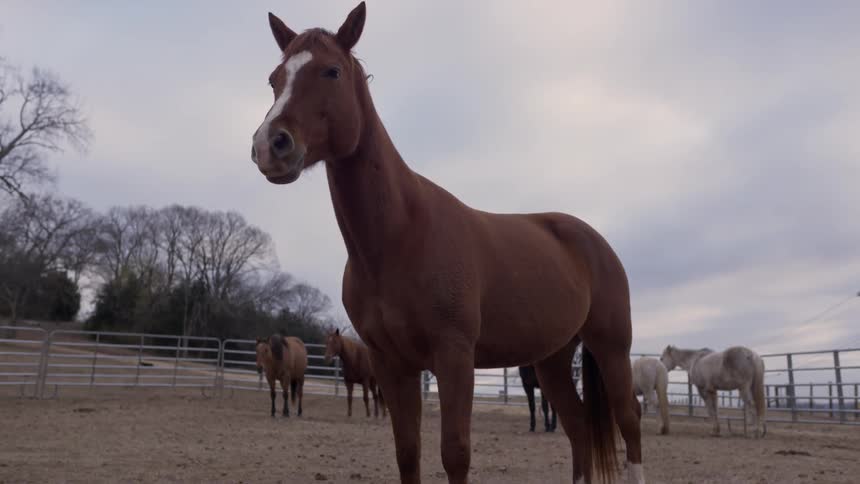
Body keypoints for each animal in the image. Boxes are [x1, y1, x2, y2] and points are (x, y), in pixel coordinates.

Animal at [249, 4, 644, 482]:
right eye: (274, 79)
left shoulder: (454, 357)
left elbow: (454, 453)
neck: (399, 237)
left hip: (611, 348)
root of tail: (594, 242)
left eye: (332, 71)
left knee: (629, 420)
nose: (269, 145)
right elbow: (407, 451)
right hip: (551, 360)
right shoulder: (391, 364)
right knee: (579, 426)